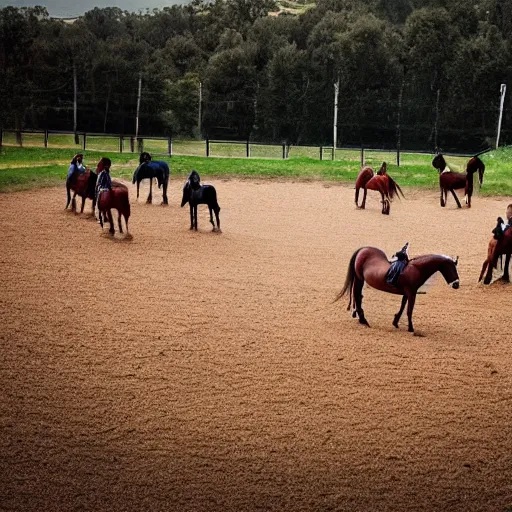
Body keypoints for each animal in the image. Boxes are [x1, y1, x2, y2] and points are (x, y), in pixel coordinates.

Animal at [334, 247, 462, 334]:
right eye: (451, 268)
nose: (456, 284)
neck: (416, 269)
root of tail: (363, 250)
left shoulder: (408, 292)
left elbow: (402, 307)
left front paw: (395, 322)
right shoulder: (412, 293)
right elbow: (409, 310)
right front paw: (411, 328)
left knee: (358, 296)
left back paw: (360, 318)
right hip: (359, 279)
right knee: (357, 296)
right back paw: (363, 320)